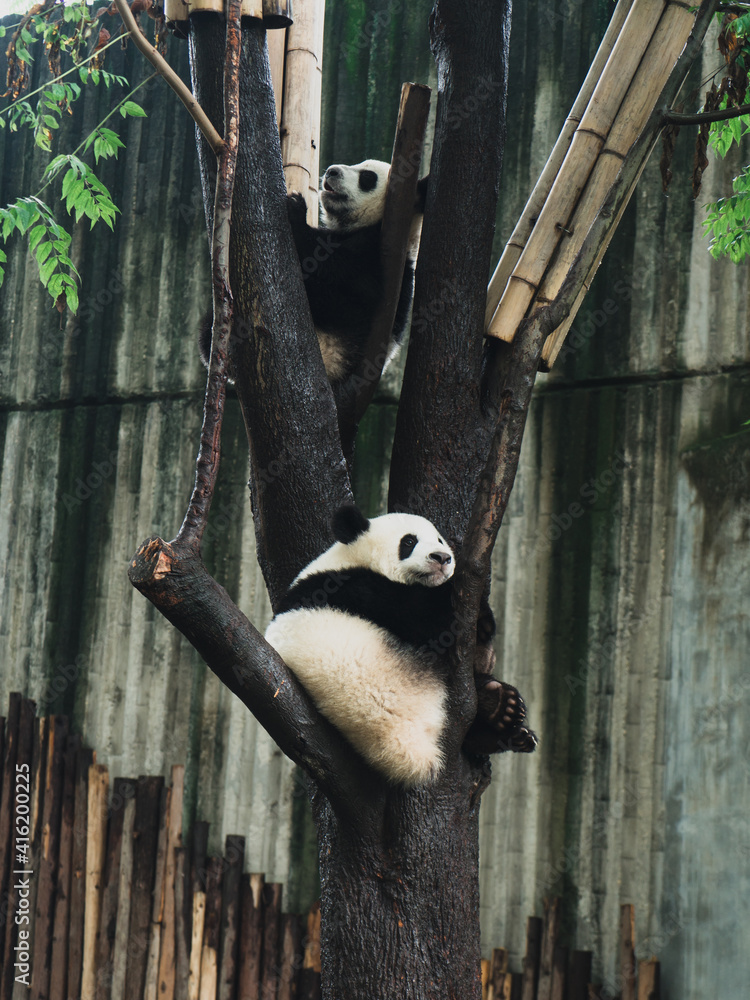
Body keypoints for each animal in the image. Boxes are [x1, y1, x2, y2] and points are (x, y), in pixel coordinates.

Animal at [264, 504, 537, 786]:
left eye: (439, 540)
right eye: (408, 542)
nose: (442, 558)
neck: (351, 557)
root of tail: (412, 750)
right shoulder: (352, 586)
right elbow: (426, 619)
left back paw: (507, 716)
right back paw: (496, 706)